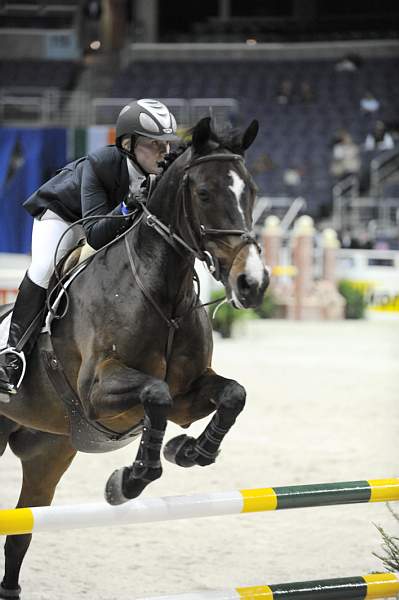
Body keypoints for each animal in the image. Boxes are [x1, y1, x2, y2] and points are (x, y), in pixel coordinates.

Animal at [0, 116, 270, 596]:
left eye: (251, 192)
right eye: (204, 193)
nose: (252, 283)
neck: (161, 289)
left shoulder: (188, 396)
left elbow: (232, 395)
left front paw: (189, 450)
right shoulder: (97, 392)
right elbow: (155, 394)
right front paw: (130, 480)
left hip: (48, 451)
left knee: (20, 533)